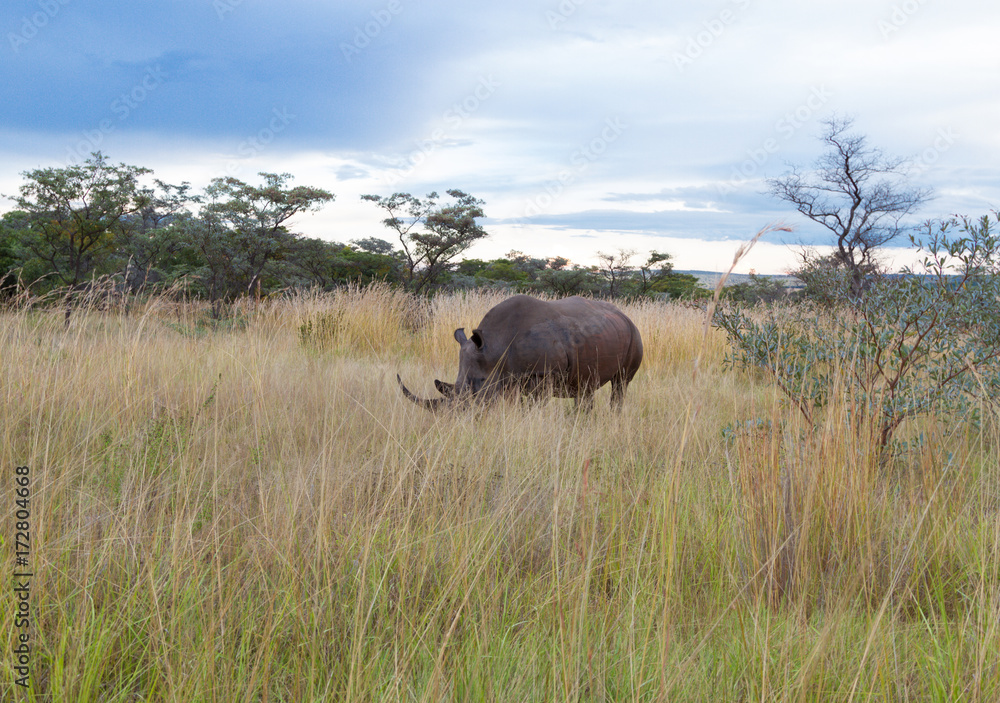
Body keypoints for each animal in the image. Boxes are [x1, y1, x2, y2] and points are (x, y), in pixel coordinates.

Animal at [397, 295, 643, 410]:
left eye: (477, 384)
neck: (494, 348)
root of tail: (624, 315)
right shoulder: (508, 379)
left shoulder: (543, 374)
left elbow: (533, 407)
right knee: (585, 387)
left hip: (634, 334)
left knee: (621, 383)